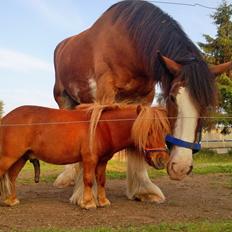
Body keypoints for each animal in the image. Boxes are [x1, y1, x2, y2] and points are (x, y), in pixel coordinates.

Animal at [0, 103, 170, 208]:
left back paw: (11, 200)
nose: (161, 160)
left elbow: (101, 180)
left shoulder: (102, 161)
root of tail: (5, 119)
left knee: (11, 178)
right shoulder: (90, 159)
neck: (102, 127)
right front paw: (88, 203)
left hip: (21, 158)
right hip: (9, 157)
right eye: (148, 131)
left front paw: (103, 201)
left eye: (163, 130)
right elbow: (88, 180)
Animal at [53, 0, 232, 202]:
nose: (180, 167)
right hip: (63, 99)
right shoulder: (103, 96)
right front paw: (86, 194)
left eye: (206, 105)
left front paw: (143, 189)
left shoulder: (143, 98)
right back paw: (67, 177)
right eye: (172, 97)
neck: (128, 45)